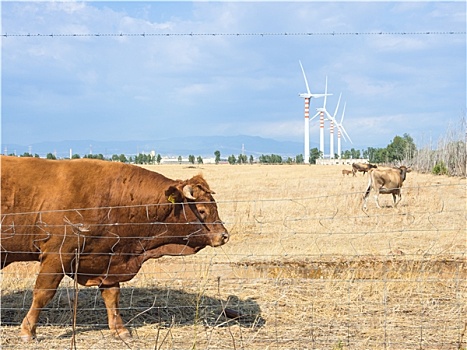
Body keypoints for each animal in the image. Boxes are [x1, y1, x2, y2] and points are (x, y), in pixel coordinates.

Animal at [0, 157, 230, 342]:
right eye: (201, 209)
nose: (224, 235)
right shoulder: (58, 255)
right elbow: (43, 293)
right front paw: (28, 331)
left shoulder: (109, 259)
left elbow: (112, 296)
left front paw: (120, 330)